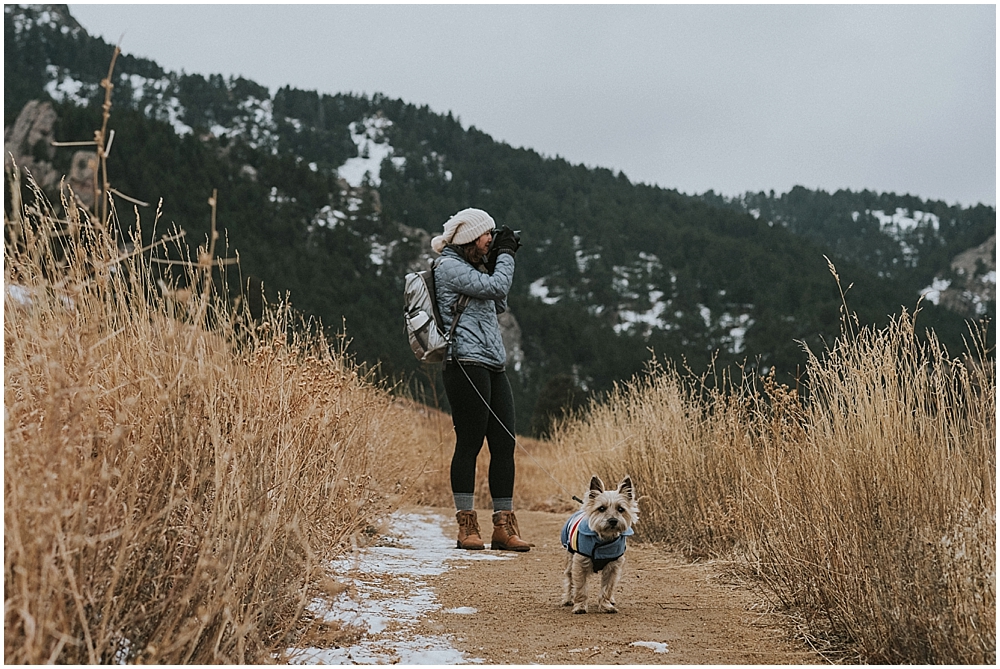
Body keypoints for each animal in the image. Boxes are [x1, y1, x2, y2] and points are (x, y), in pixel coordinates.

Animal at [560, 474, 636, 612]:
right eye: (601, 508)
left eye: (620, 509)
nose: (613, 520)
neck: (604, 540)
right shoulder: (579, 564)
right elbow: (581, 587)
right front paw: (580, 606)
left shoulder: (613, 567)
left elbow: (608, 587)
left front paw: (606, 605)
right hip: (570, 558)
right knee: (569, 577)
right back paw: (568, 599)